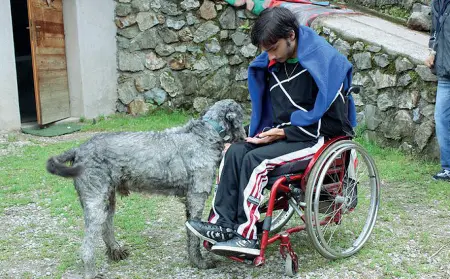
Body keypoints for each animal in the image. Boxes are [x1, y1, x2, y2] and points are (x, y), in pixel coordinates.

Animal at [45, 99, 246, 278]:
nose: (247, 133)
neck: (205, 134)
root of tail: (79, 149)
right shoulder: (197, 197)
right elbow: (194, 236)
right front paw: (199, 262)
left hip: (108, 199)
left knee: (106, 227)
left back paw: (115, 250)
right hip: (95, 202)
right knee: (87, 247)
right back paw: (91, 272)